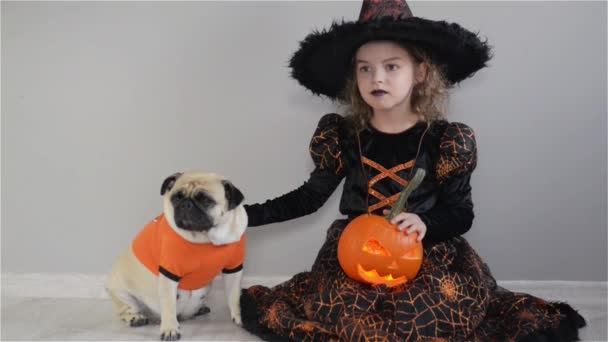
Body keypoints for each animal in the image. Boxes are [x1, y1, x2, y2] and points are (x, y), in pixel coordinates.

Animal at [105, 171, 248, 340]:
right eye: (177, 198)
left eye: (206, 200)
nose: (186, 204)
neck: (205, 238)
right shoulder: (169, 273)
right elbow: (169, 306)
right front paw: (170, 329)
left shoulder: (233, 270)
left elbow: (234, 297)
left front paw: (239, 317)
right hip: (122, 294)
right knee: (125, 310)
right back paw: (135, 317)